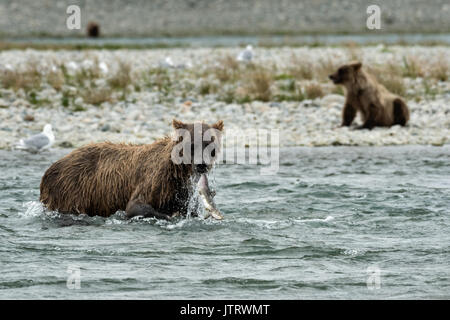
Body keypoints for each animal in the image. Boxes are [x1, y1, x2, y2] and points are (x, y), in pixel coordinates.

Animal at [39, 120, 224, 220]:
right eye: (192, 145)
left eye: (210, 145)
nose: (201, 165)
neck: (177, 171)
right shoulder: (155, 180)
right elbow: (136, 206)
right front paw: (169, 215)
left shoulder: (178, 191)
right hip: (71, 190)